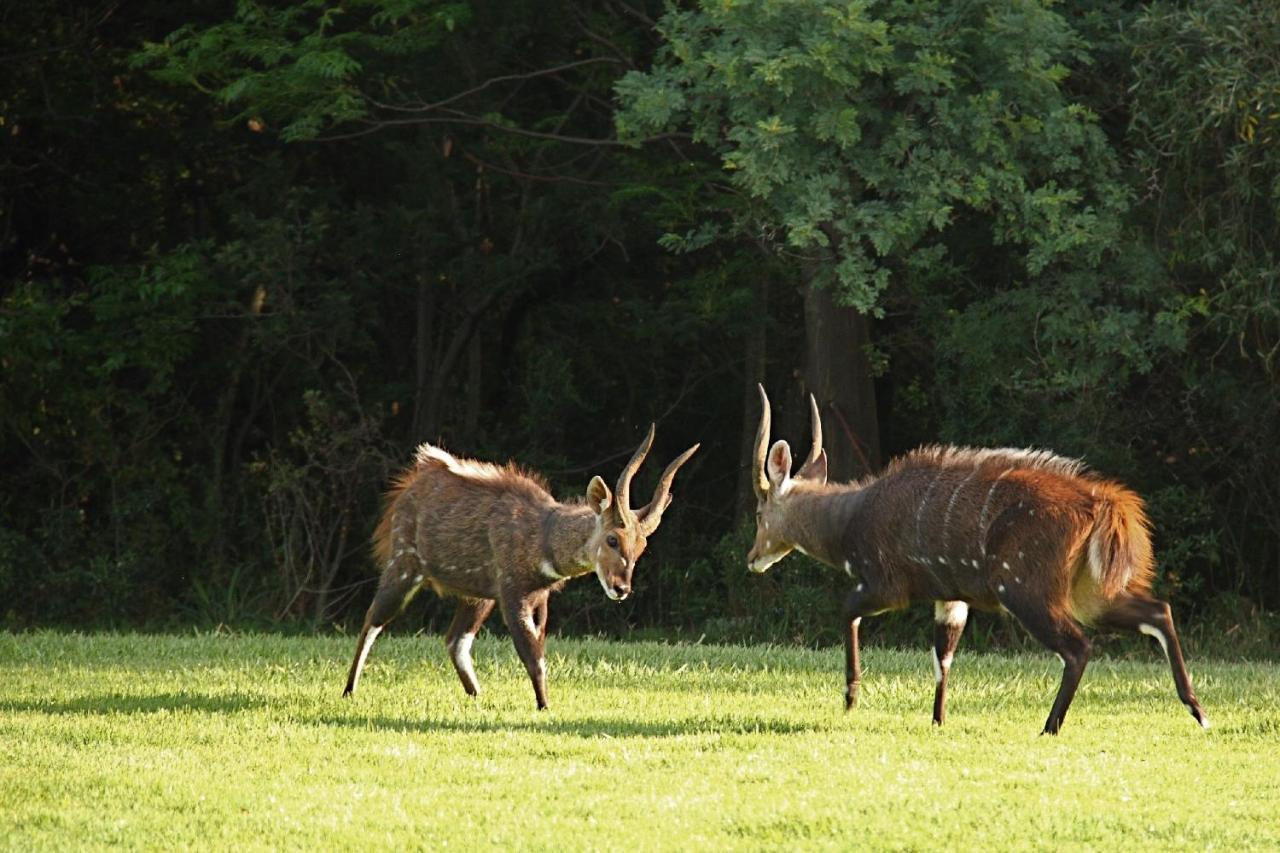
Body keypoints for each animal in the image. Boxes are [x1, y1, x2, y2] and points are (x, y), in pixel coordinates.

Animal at [345, 427, 696, 706]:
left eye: (641, 546)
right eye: (612, 539)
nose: (621, 588)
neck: (543, 536)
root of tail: (406, 489)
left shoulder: (538, 597)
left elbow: (537, 648)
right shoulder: (513, 593)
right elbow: (533, 656)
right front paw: (545, 708)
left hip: (477, 595)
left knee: (455, 640)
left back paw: (479, 696)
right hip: (404, 566)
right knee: (373, 619)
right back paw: (348, 691)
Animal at [747, 384, 1203, 732]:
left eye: (758, 510)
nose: (752, 558)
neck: (849, 520)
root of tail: (1104, 503)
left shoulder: (886, 585)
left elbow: (847, 611)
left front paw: (851, 696)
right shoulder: (950, 597)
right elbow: (942, 657)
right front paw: (937, 721)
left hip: (1022, 590)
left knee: (1078, 647)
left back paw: (1049, 727)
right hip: (1089, 593)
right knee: (1158, 610)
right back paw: (1197, 710)